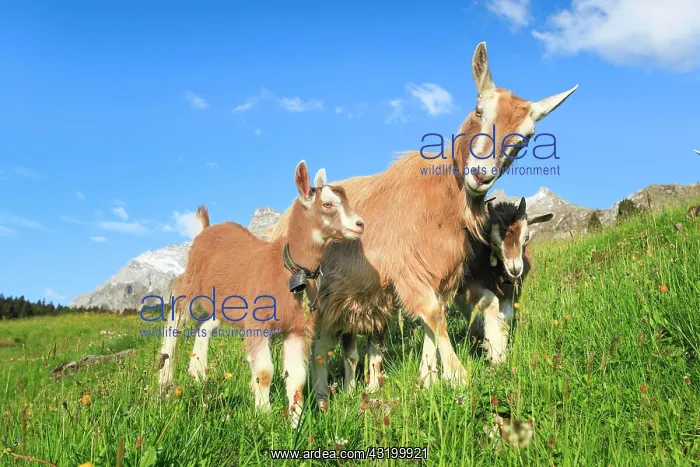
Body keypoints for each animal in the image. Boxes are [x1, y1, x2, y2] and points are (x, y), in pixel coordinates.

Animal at [157, 160, 365, 429]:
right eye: (327, 204)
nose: (360, 224)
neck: (285, 268)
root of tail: (205, 230)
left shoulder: (297, 328)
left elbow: (297, 376)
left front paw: (295, 423)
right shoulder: (258, 323)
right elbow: (265, 372)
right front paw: (263, 416)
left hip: (225, 300)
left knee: (206, 323)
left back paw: (197, 372)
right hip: (192, 281)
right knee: (177, 313)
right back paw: (165, 381)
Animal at [453, 197, 553, 364]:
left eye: (526, 238)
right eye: (493, 242)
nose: (515, 270)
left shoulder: (512, 292)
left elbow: (505, 317)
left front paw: (499, 350)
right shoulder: (471, 284)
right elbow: (490, 302)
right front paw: (494, 352)